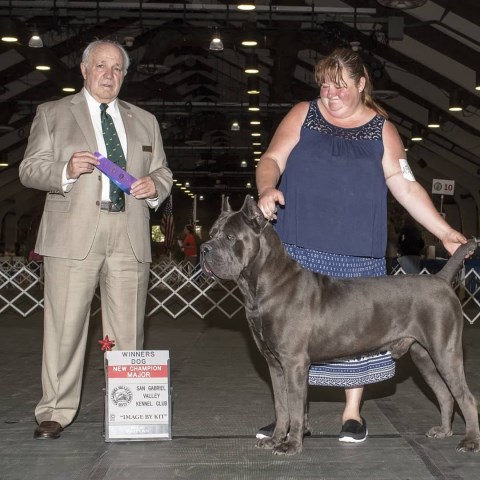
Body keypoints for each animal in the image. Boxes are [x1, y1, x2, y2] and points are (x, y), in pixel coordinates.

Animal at [201, 196, 478, 458]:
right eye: (212, 233)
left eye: (230, 237)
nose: (204, 249)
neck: (265, 284)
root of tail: (441, 279)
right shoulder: (275, 365)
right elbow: (281, 406)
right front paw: (276, 439)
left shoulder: (294, 363)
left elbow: (294, 406)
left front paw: (291, 445)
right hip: (424, 356)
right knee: (445, 394)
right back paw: (444, 431)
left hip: (445, 352)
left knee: (467, 397)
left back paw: (470, 442)